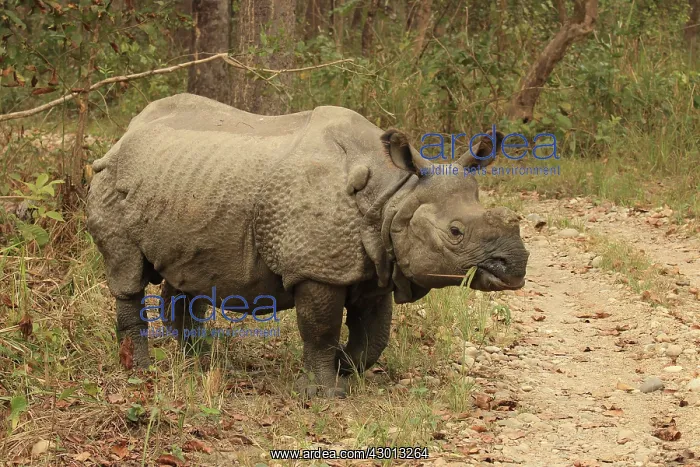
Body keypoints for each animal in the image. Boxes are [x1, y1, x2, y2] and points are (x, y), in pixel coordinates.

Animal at [87, 93, 529, 398]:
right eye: (456, 232)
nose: (517, 265)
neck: (395, 194)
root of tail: (124, 134)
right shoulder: (318, 269)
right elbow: (321, 328)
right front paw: (325, 392)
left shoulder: (376, 265)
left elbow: (374, 335)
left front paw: (346, 366)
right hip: (111, 179)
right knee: (127, 271)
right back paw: (140, 372)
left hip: (187, 181)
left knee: (187, 276)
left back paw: (204, 362)